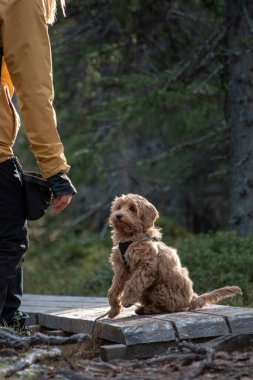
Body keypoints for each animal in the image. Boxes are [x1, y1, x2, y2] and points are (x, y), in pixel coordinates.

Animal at [106, 193, 241, 318]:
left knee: (167, 307)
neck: (130, 237)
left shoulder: (146, 266)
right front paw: (114, 310)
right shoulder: (121, 269)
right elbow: (114, 289)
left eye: (132, 208)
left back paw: (148, 309)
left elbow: (133, 282)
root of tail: (191, 299)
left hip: (160, 288)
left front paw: (127, 300)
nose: (118, 215)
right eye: (118, 207)